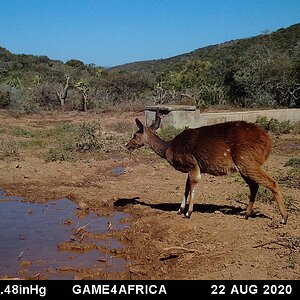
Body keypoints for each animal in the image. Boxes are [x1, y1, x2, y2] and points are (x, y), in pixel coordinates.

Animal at [125, 111, 288, 224]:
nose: (127, 145)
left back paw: (283, 218)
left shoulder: (192, 165)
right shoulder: (194, 168)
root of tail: (268, 141)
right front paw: (180, 210)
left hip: (248, 163)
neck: (168, 148)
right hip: (244, 167)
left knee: (272, 183)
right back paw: (246, 215)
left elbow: (192, 185)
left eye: (135, 135)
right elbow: (186, 187)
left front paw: (188, 213)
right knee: (254, 186)